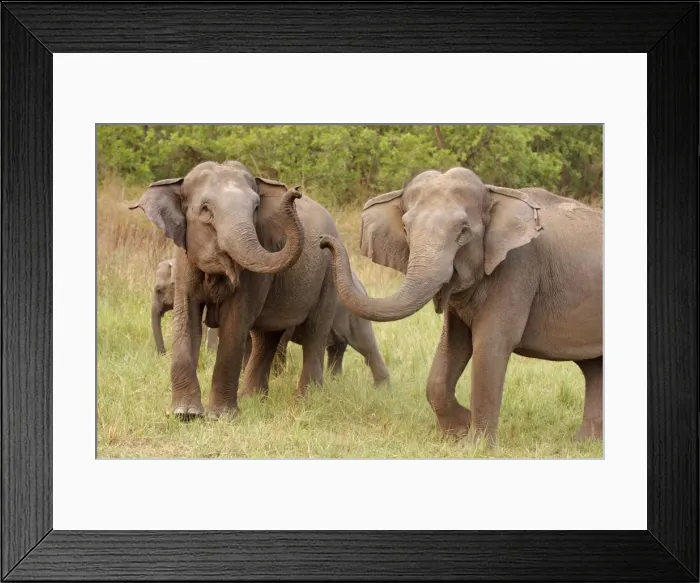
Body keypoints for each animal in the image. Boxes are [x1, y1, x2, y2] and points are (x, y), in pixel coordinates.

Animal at [130, 160, 340, 419]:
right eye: (205, 210)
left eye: (256, 207)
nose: (295, 192)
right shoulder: (184, 257)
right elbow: (186, 317)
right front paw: (185, 414)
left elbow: (235, 322)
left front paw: (220, 416)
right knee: (267, 337)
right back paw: (253, 398)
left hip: (328, 278)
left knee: (314, 333)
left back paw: (305, 401)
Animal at [320, 167, 602, 445]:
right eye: (406, 228)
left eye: (464, 231)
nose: (323, 240)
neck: (493, 193)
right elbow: (452, 344)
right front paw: (457, 431)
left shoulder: (518, 270)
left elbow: (490, 344)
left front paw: (476, 446)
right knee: (593, 368)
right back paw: (585, 443)